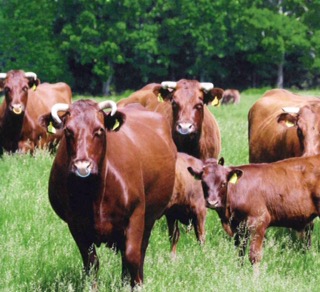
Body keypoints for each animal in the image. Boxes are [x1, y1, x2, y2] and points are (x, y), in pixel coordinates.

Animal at [40, 98, 178, 288]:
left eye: (99, 130)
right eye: (68, 131)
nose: (82, 166)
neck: (94, 195)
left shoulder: (136, 214)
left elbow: (132, 256)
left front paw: (136, 285)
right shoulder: (75, 224)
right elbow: (91, 262)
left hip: (148, 219)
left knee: (139, 251)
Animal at [188, 156, 320, 268]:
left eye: (223, 183)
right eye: (203, 183)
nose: (212, 202)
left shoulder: (258, 223)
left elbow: (254, 256)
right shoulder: (239, 228)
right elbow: (240, 253)